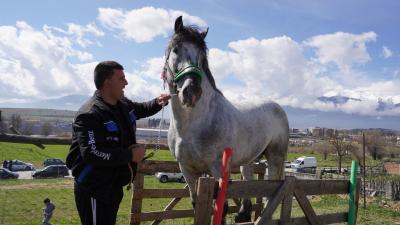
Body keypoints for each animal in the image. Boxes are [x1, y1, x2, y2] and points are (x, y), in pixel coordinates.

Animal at [164, 16, 290, 222]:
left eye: (202, 56)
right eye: (176, 50)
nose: (192, 92)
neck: (192, 126)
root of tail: (278, 108)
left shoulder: (217, 170)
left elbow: (220, 209)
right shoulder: (187, 171)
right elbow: (197, 205)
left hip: (275, 156)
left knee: (270, 188)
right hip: (249, 158)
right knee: (249, 179)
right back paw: (243, 213)